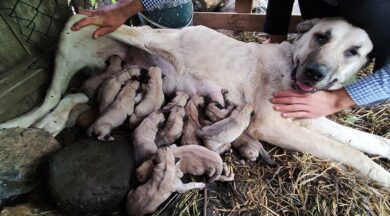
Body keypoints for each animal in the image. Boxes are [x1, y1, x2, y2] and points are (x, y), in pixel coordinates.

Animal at [3, 14, 390, 187]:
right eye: (322, 36)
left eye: (354, 51)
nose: (314, 73)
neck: (292, 59)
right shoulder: (270, 123)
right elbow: (351, 152)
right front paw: (383, 177)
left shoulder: (312, 118)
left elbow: (367, 142)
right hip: (82, 30)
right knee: (55, 92)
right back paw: (25, 124)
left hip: (110, 70)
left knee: (72, 95)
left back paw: (47, 124)